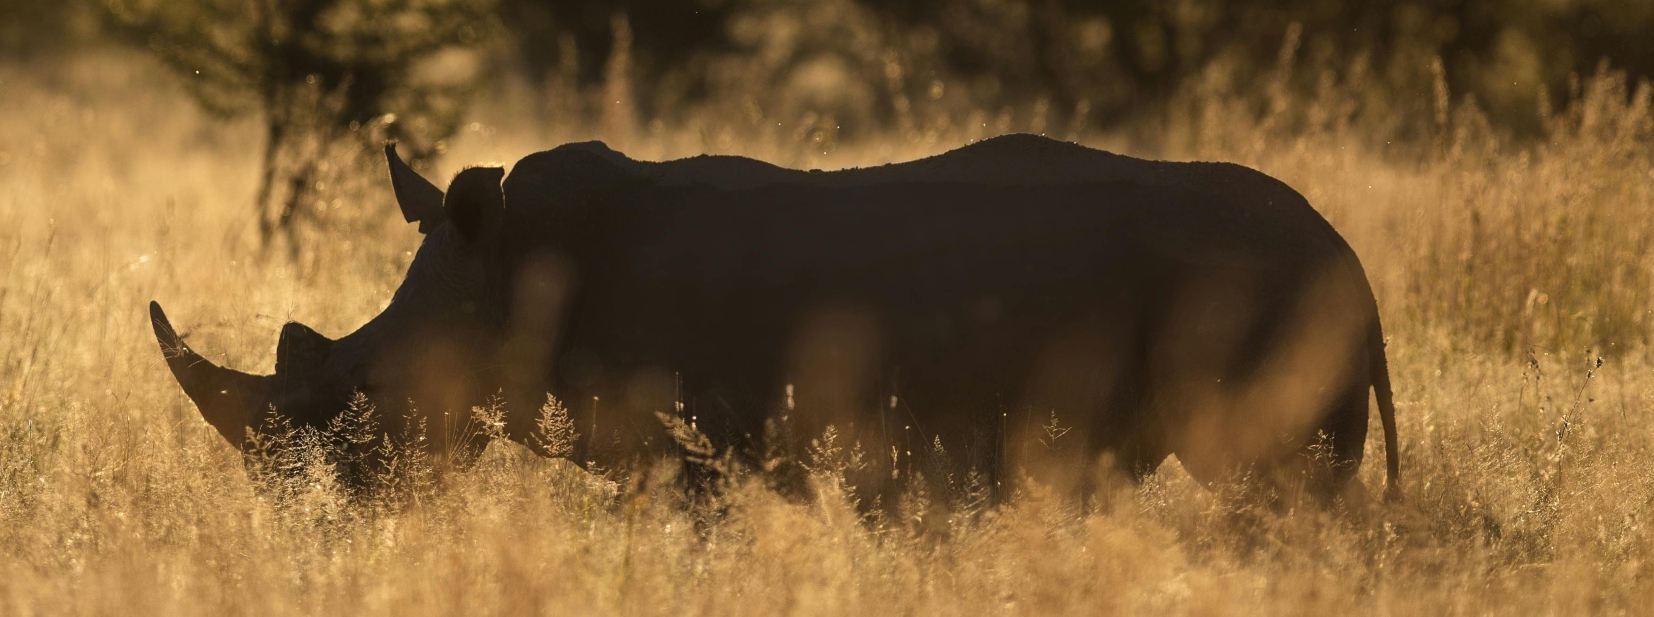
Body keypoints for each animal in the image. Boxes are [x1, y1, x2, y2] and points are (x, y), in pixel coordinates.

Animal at [150, 134, 1399, 505]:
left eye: (367, 394)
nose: (302, 505)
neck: (508, 264)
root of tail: (1356, 264)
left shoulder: (690, 449)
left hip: (1279, 302)